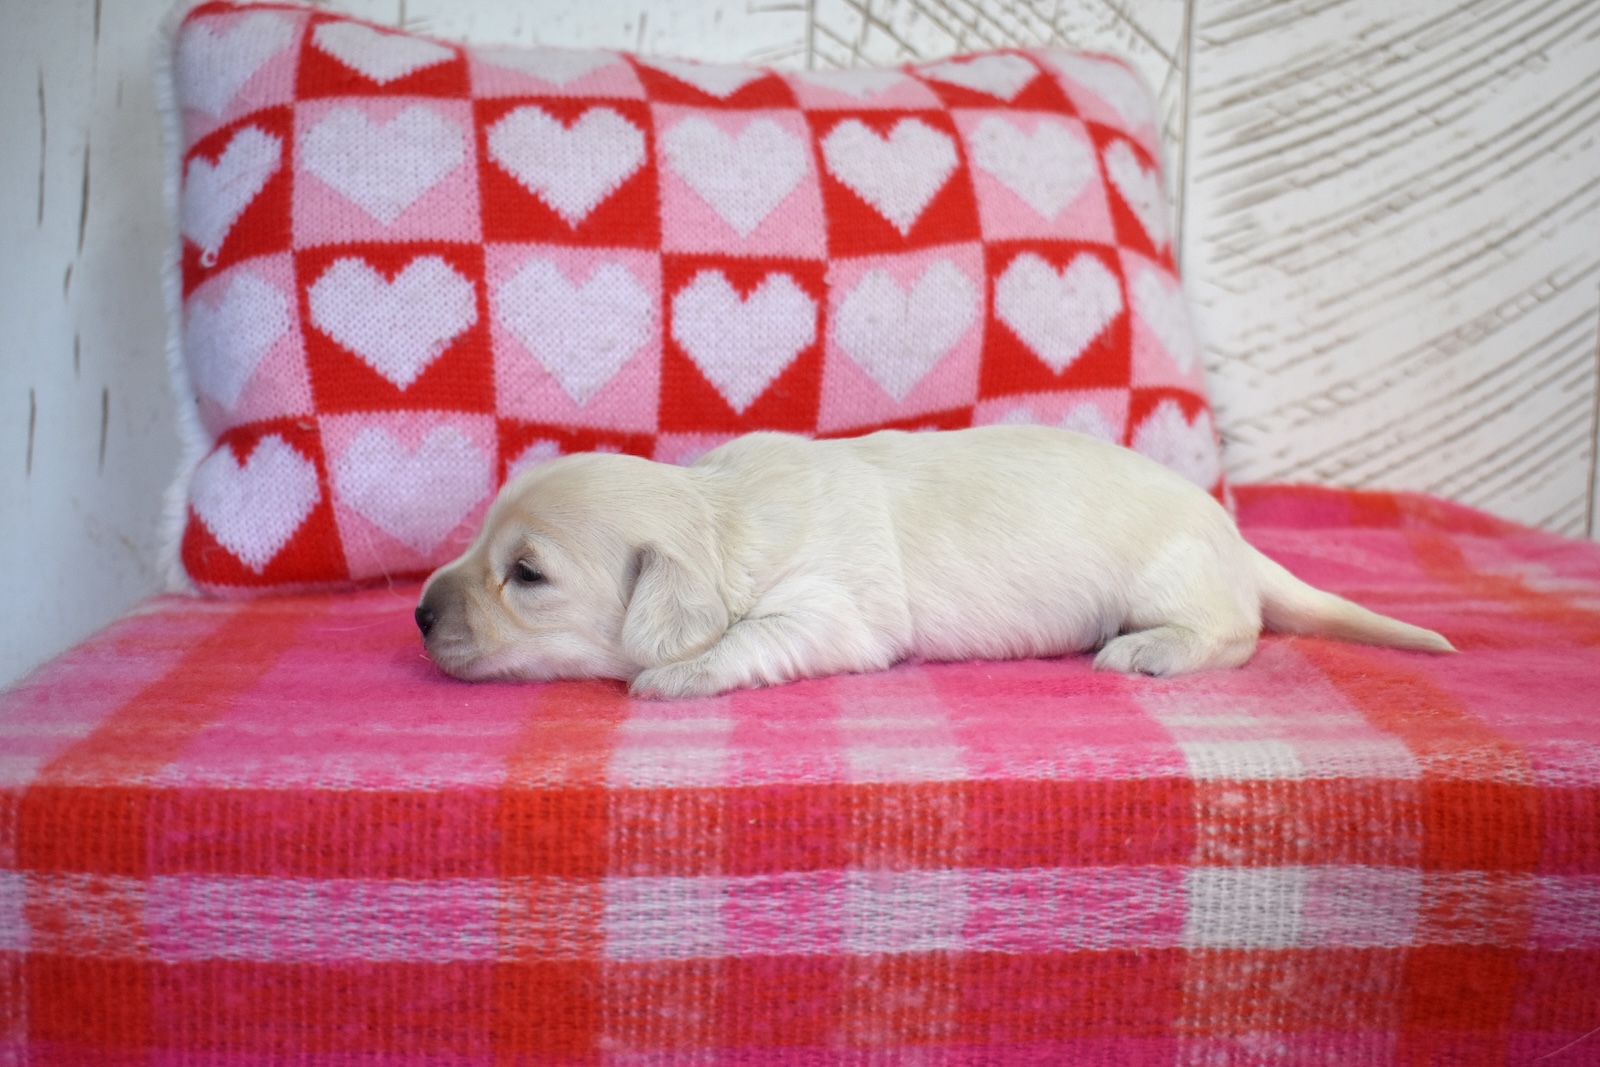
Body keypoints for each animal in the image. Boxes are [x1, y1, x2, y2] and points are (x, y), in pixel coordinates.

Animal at [416, 426, 1453, 697]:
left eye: (528, 574)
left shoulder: (831, 612)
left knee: (1235, 632)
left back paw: (1147, 651)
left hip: (1174, 576)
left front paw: (675, 675)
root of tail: (1236, 539)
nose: (419, 614)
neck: (718, 517)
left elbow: (751, 637)